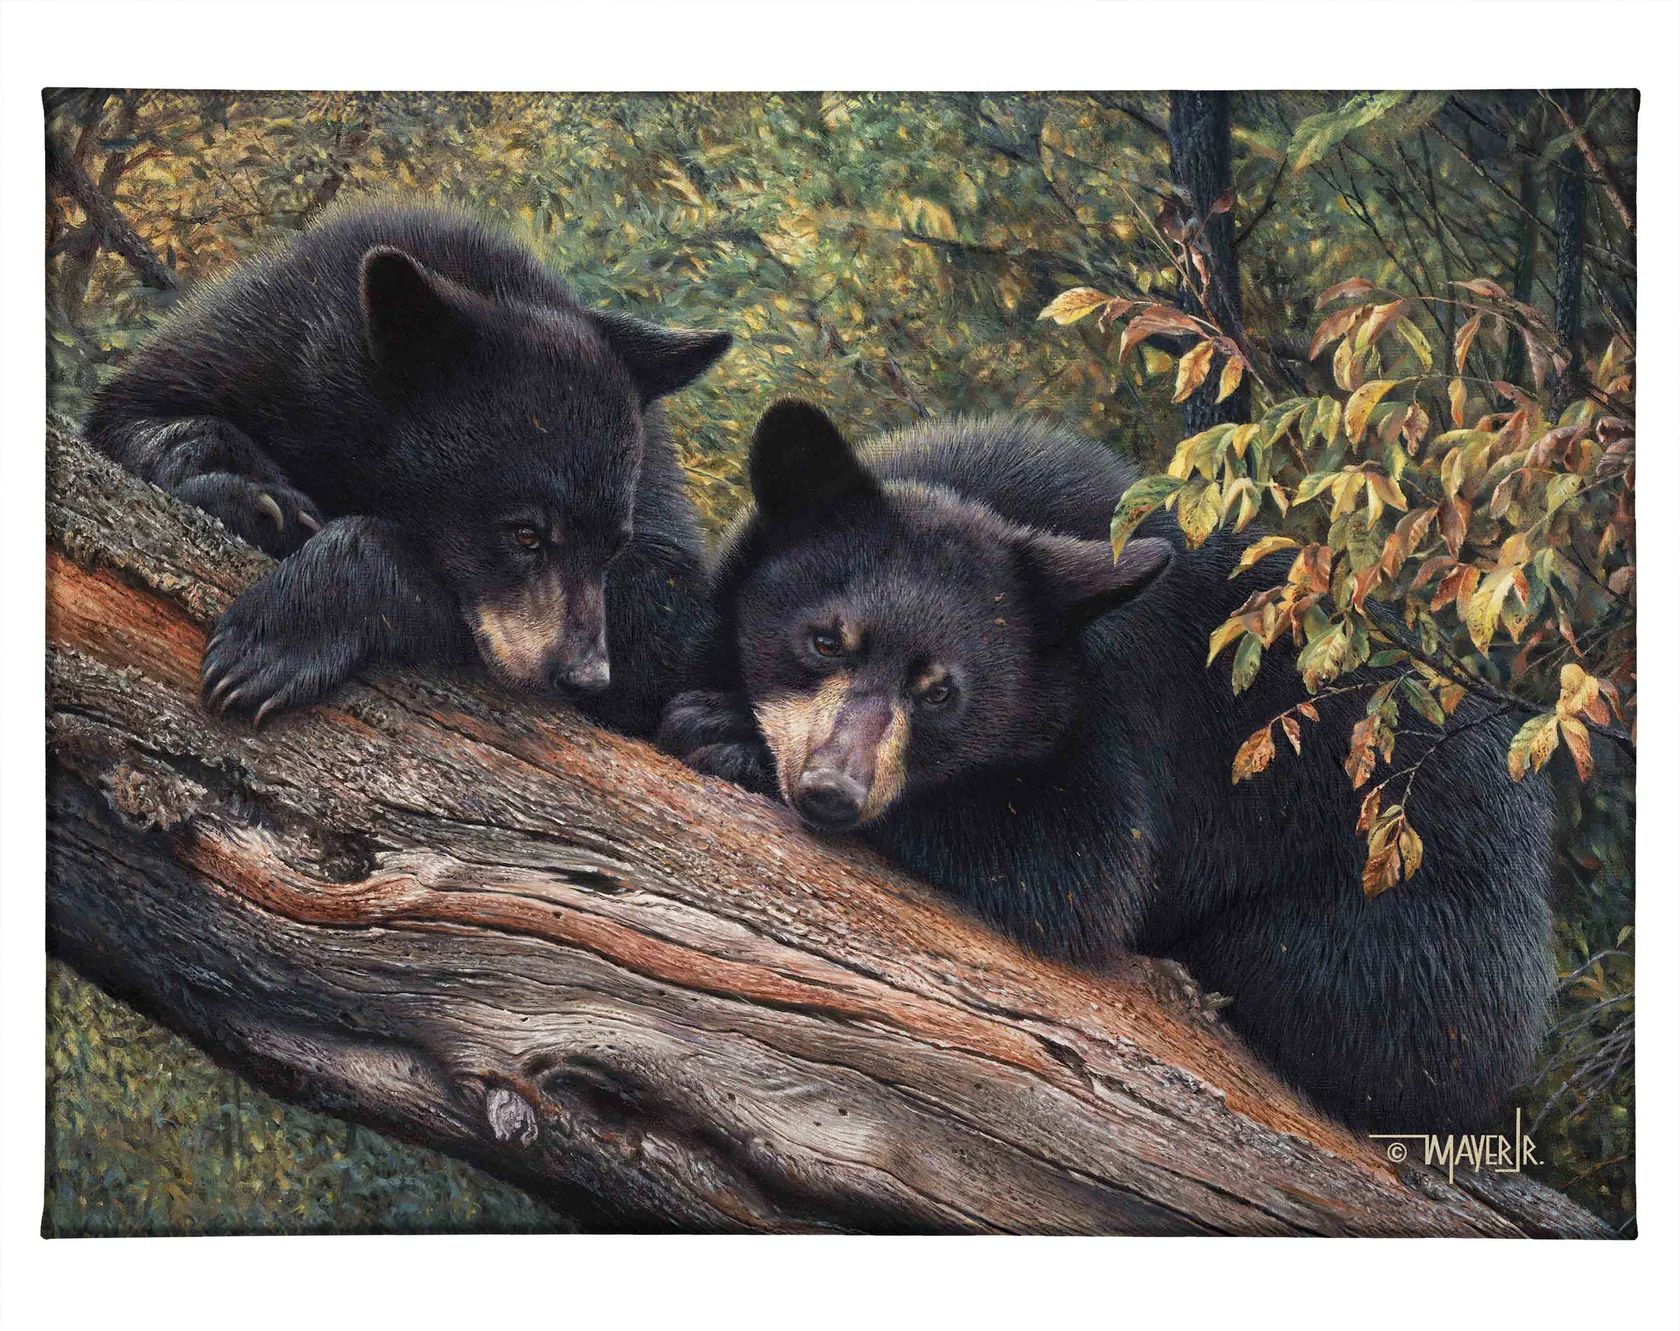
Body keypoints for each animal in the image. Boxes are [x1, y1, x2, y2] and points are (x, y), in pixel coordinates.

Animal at [86, 203, 732, 737]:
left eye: (612, 548)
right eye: (525, 534)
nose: (586, 676)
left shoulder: (653, 513)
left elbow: (662, 626)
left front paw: (270, 642)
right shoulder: (256, 343)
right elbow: (130, 418)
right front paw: (259, 498)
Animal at [658, 399, 1557, 1132]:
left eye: (941, 691)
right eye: (824, 639)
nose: (832, 791)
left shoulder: (1118, 712)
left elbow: (1078, 865)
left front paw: (726, 731)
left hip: (1417, 926)